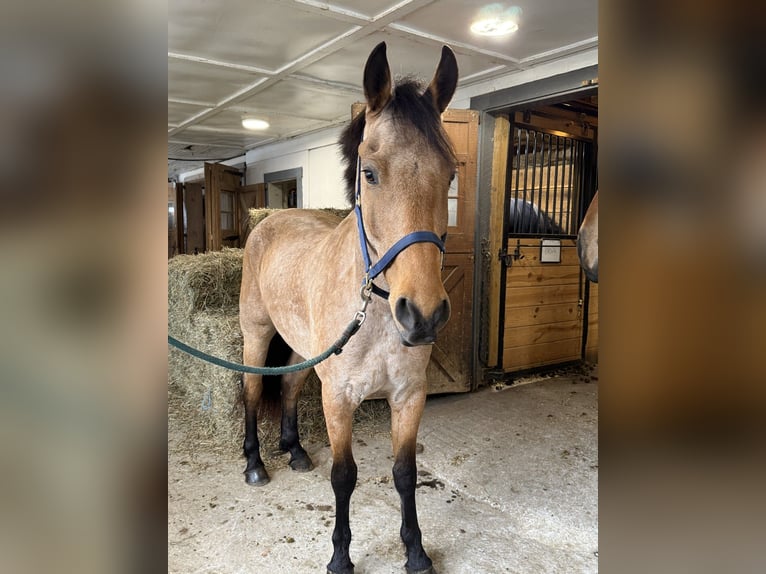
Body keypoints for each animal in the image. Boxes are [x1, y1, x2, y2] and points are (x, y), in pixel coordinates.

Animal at [239, 42, 458, 574]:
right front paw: (340, 556)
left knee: (289, 386)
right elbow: (344, 476)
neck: (374, 316)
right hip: (256, 335)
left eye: (450, 174)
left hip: (303, 351)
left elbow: (404, 473)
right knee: (253, 391)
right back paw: (255, 464)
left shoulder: (408, 397)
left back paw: (295, 451)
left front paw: (416, 552)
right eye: (370, 173)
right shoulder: (338, 399)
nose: (423, 315)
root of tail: (268, 221)